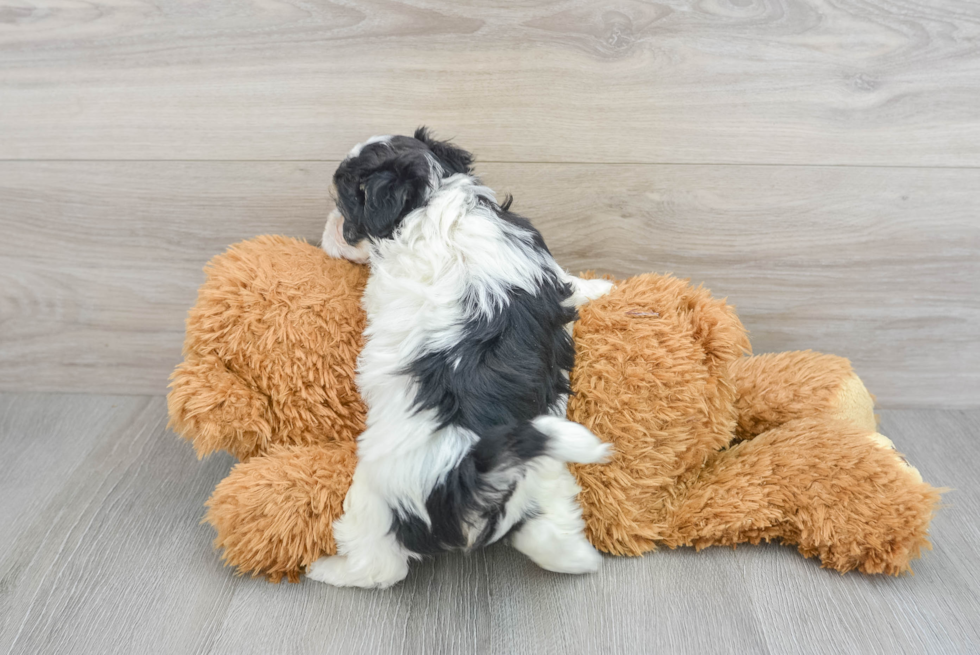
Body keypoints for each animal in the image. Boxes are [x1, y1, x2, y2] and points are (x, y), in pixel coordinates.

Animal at [310, 128, 612, 588]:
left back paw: (326, 569)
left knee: (379, 565)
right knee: (548, 534)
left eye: (345, 207)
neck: (433, 199)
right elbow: (572, 284)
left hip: (375, 499)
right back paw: (581, 559)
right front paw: (604, 289)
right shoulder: (546, 268)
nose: (327, 231)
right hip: (542, 476)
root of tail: (467, 472)